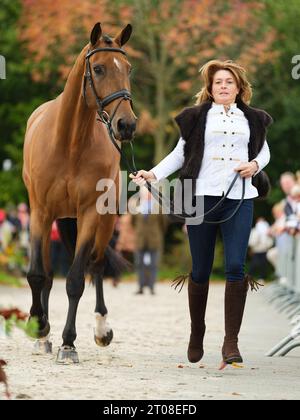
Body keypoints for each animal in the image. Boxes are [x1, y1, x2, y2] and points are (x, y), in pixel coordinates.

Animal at [22, 23, 137, 362]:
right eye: (98, 68)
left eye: (128, 68)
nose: (126, 125)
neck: (70, 142)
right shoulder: (41, 212)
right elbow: (38, 275)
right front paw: (40, 327)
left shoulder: (89, 214)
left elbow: (75, 280)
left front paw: (68, 343)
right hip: (57, 218)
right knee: (48, 275)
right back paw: (43, 334)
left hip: (105, 221)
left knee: (96, 266)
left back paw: (101, 329)